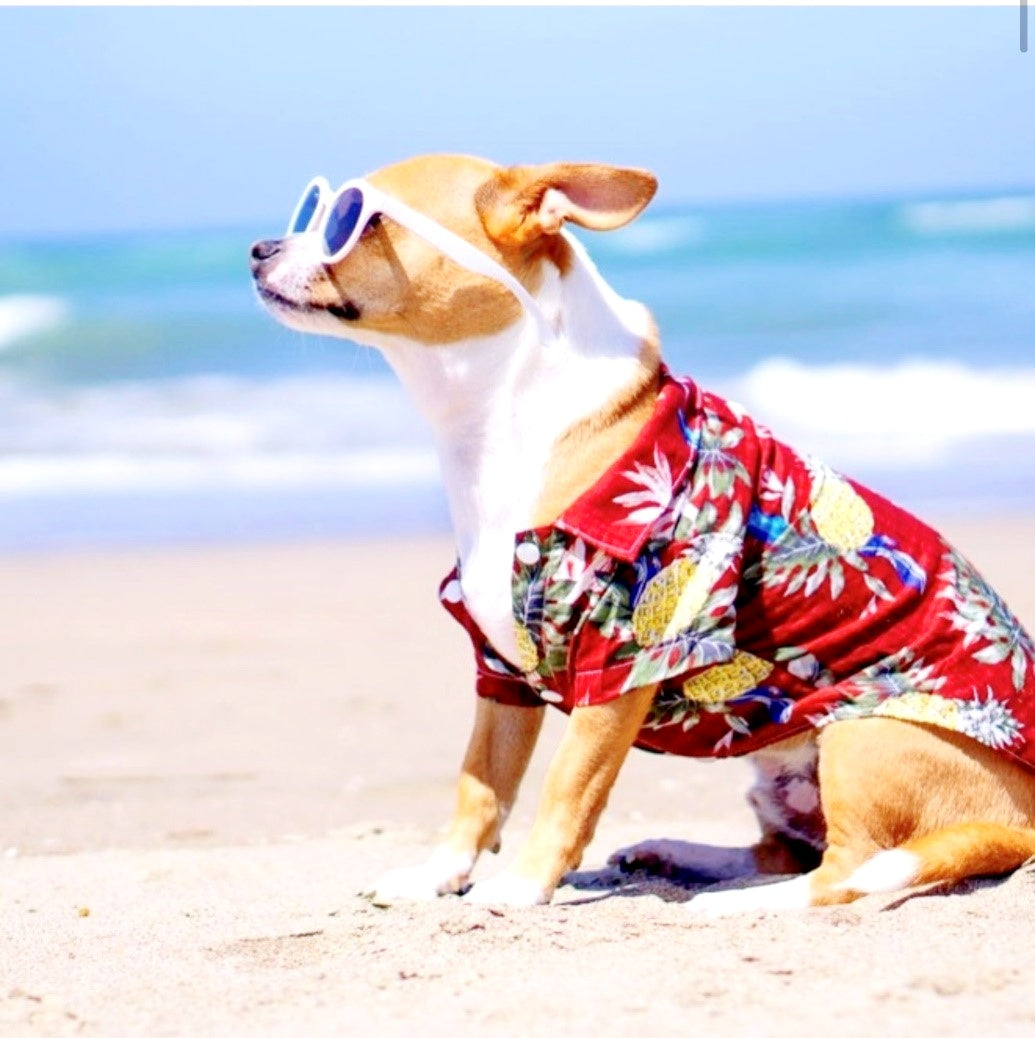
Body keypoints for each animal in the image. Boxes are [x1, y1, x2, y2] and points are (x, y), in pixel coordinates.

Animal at [250, 155, 1033, 917]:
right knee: (784, 850)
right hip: (779, 772)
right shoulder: (499, 673)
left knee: (845, 868)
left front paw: (523, 887)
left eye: (357, 220)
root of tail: (1021, 823)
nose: (259, 248)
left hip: (862, 734)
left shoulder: (621, 660)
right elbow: (480, 786)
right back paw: (684, 858)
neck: (497, 426)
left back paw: (738, 905)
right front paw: (438, 876)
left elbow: (567, 786)